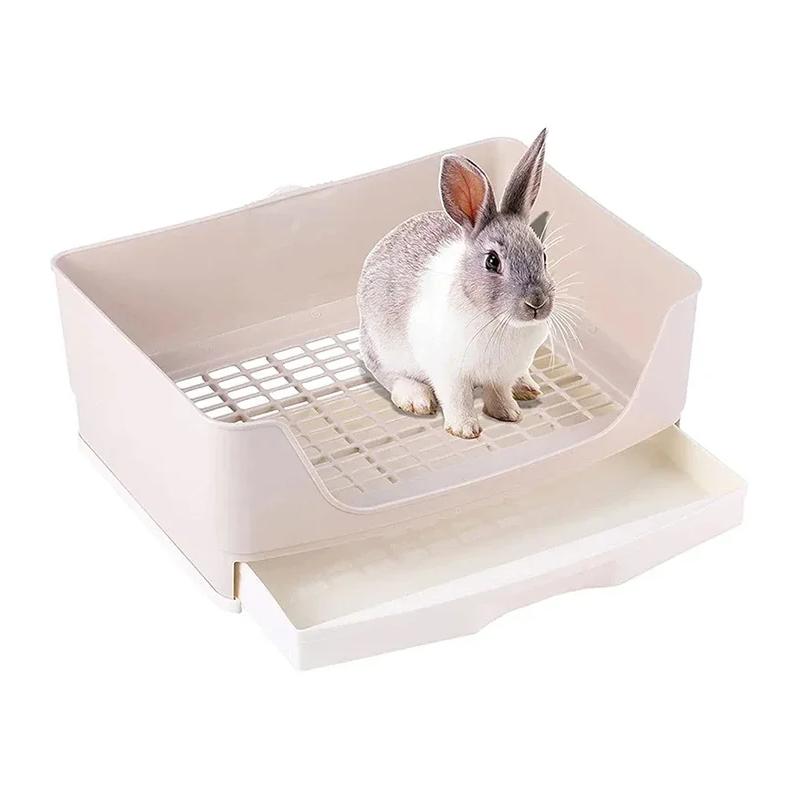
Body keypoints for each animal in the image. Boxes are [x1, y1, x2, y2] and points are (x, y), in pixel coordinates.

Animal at [357, 129, 554, 439]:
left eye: (543, 256)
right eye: (492, 261)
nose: (537, 303)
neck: (499, 322)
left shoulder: (501, 374)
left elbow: (499, 393)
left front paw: (509, 414)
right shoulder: (449, 373)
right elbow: (457, 398)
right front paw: (465, 430)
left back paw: (526, 387)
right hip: (382, 349)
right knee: (387, 374)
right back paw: (416, 398)